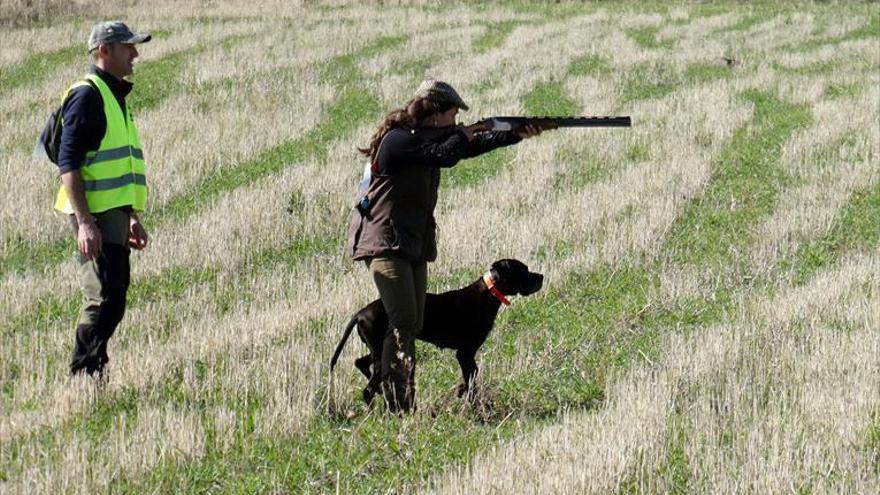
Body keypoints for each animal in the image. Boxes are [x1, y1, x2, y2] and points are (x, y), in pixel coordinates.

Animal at [328, 258, 540, 404]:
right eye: (524, 270)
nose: (541, 276)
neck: (489, 293)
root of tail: (360, 313)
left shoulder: (467, 355)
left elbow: (471, 377)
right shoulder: (465, 353)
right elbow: (471, 379)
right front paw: (473, 403)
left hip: (379, 349)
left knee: (361, 363)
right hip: (382, 351)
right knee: (367, 389)